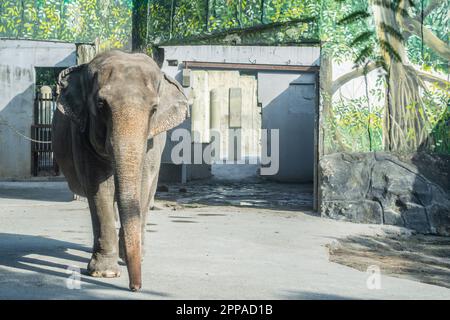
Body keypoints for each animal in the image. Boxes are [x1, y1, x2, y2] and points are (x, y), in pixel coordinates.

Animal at [52, 49, 188, 290]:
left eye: (154, 109)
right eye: (100, 104)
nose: (135, 287)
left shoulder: (152, 143)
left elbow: (142, 184)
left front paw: (129, 257)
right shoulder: (81, 136)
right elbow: (99, 188)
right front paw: (105, 272)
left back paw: (138, 252)